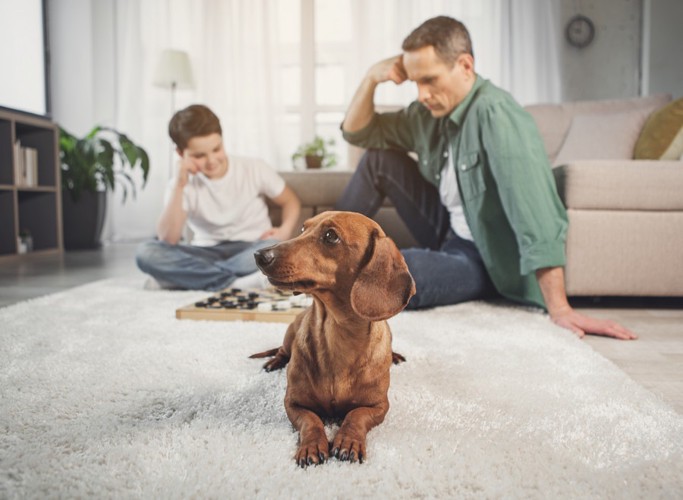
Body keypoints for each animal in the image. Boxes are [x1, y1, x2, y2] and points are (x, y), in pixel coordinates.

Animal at [248, 210, 414, 464]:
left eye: (330, 236)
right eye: (302, 229)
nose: (260, 255)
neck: (337, 335)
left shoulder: (378, 406)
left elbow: (356, 416)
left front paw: (348, 441)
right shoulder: (293, 403)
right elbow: (311, 421)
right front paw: (312, 446)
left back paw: (395, 356)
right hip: (289, 334)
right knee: (282, 351)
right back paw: (273, 362)